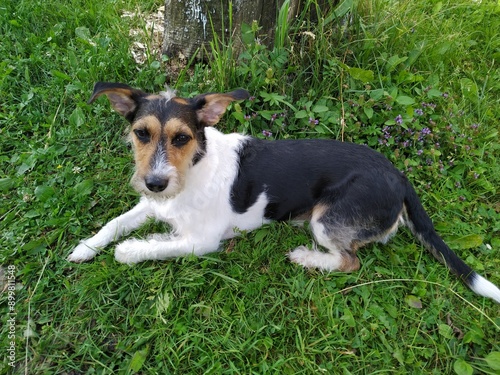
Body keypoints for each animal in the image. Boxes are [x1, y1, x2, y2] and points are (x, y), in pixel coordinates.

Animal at [67, 83, 500, 306]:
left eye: (182, 138)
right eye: (141, 133)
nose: (154, 183)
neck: (192, 170)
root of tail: (399, 175)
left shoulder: (201, 241)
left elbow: (149, 247)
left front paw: (130, 250)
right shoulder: (150, 205)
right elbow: (114, 223)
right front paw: (85, 248)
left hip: (326, 219)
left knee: (349, 262)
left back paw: (307, 257)